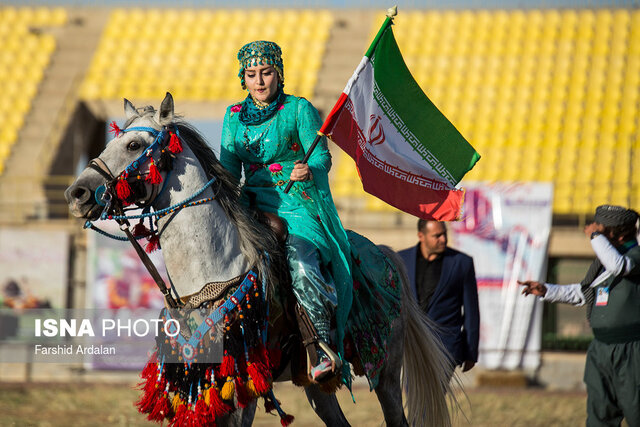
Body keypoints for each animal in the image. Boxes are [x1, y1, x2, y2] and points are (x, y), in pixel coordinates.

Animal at [65, 94, 456, 427]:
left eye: (133, 145)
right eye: (108, 143)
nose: (76, 193)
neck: (211, 273)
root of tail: (384, 253)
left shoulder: (243, 386)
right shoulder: (204, 384)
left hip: (386, 369)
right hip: (317, 384)